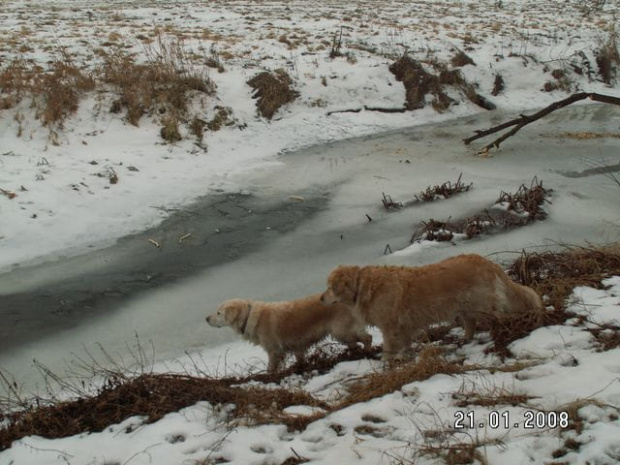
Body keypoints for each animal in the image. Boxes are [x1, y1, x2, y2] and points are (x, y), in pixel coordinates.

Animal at [206, 294, 370, 370]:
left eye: (218, 313)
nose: (206, 318)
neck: (249, 316)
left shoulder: (274, 350)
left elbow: (271, 368)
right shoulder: (297, 346)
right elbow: (300, 358)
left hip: (340, 330)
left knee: (367, 337)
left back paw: (368, 351)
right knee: (356, 343)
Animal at [320, 254, 544, 358]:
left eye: (330, 287)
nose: (321, 299)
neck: (362, 286)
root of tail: (488, 262)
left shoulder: (390, 327)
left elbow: (388, 350)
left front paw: (386, 364)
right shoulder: (403, 327)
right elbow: (405, 344)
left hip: (483, 305)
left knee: (500, 317)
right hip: (466, 307)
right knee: (471, 324)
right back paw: (465, 340)